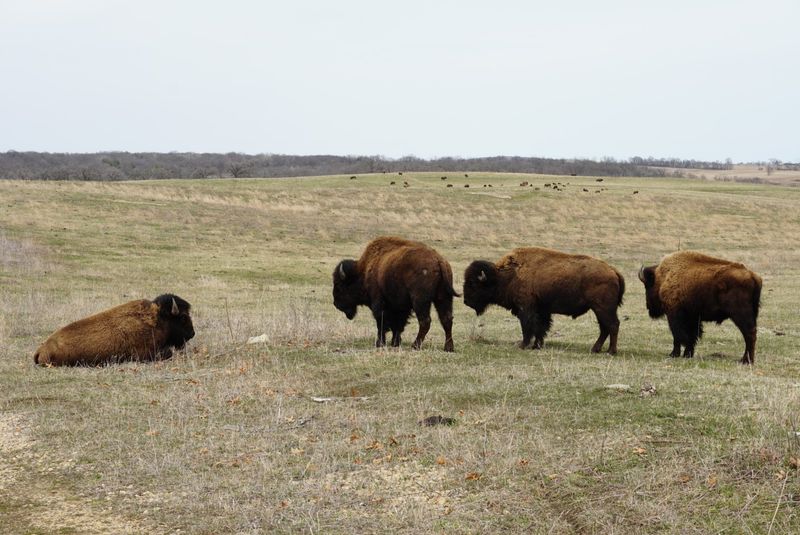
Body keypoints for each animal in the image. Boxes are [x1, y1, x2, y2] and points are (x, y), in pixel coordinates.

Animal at [463, 248, 625, 354]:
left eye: (472, 283)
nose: (466, 301)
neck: (506, 275)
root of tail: (613, 270)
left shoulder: (526, 308)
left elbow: (528, 327)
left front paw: (523, 345)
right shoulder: (542, 311)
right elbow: (541, 328)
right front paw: (537, 345)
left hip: (603, 308)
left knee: (612, 325)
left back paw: (611, 351)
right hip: (600, 309)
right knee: (605, 328)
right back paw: (595, 349)